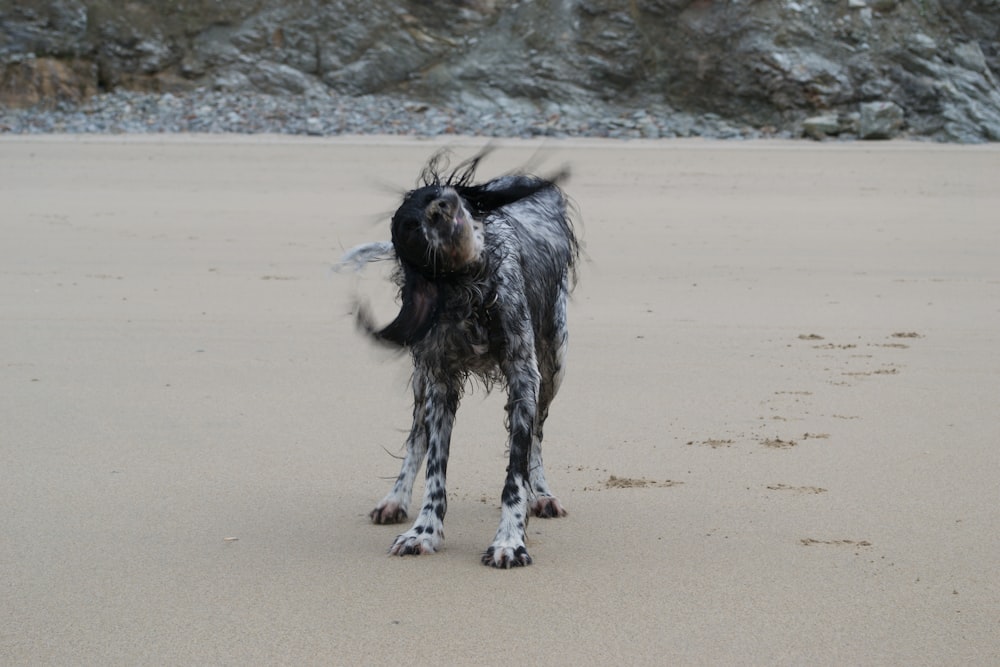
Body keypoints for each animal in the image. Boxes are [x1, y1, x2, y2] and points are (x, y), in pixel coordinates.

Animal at [340, 151, 580, 568]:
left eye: (435, 194)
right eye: (412, 225)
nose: (441, 206)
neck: (471, 291)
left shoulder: (524, 377)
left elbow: (516, 471)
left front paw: (509, 541)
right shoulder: (439, 383)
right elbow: (434, 467)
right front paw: (423, 531)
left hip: (554, 363)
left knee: (537, 434)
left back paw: (543, 495)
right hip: (422, 381)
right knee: (415, 439)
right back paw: (394, 500)